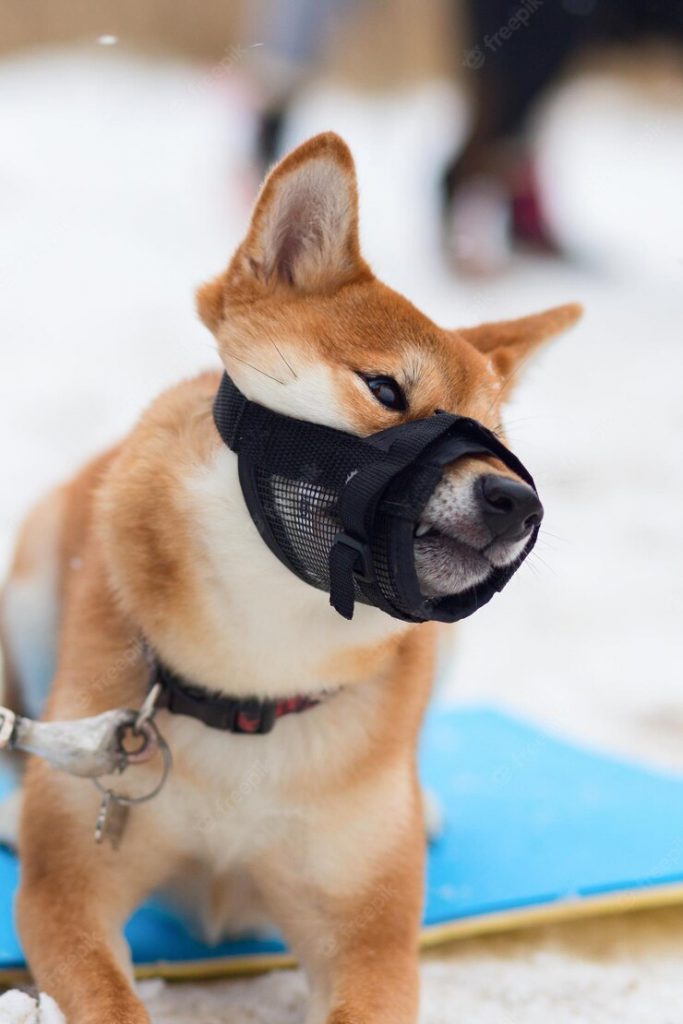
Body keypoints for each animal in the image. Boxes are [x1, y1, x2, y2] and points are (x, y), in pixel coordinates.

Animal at [0, 132, 581, 1019]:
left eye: (493, 441)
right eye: (384, 389)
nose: (514, 500)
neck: (259, 680)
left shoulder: (370, 939)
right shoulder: (67, 894)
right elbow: (110, 998)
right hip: (33, 573)